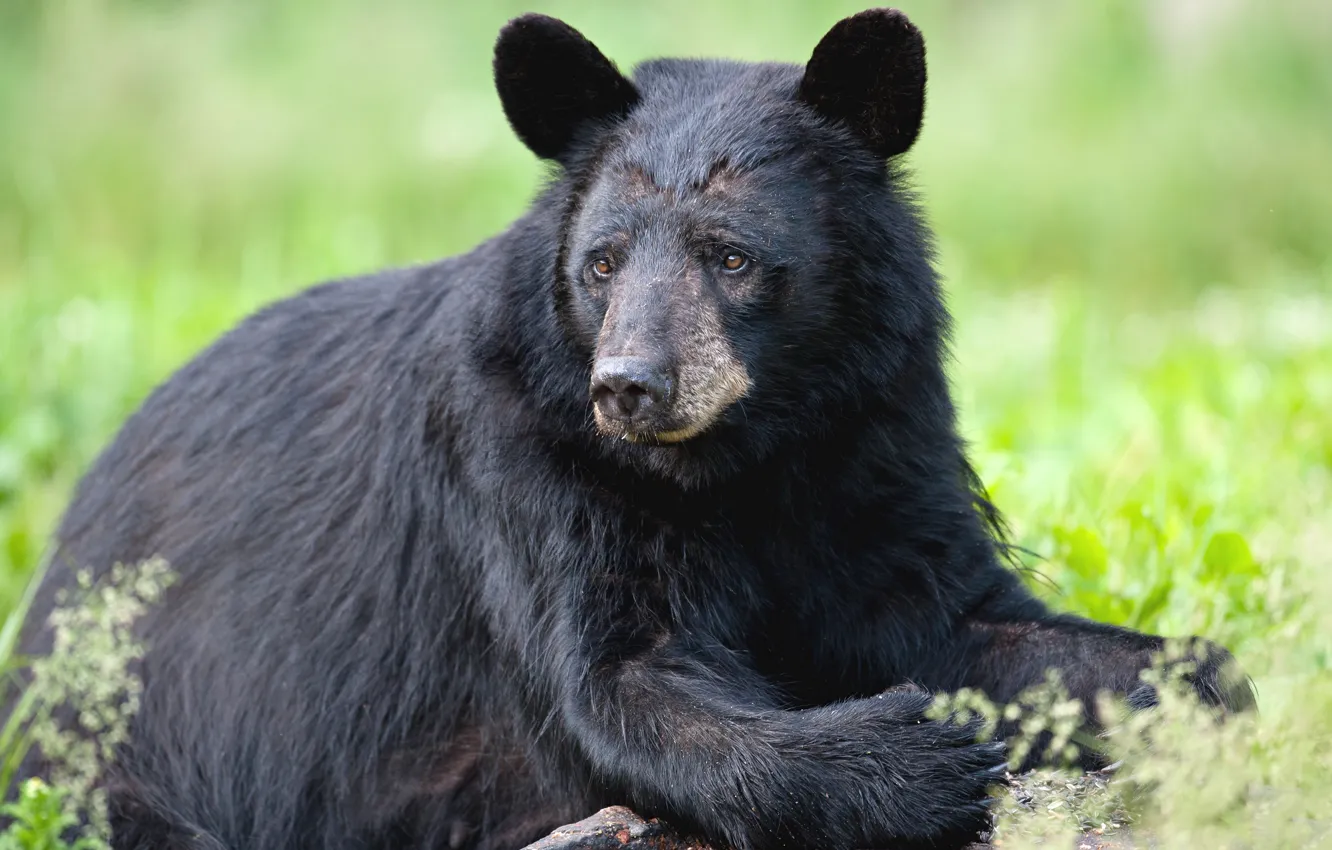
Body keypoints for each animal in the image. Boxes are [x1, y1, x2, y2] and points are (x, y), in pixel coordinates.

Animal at [10, 8, 1253, 850]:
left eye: (732, 255)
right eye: (602, 261)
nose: (629, 387)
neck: (752, 449)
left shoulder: (877, 434)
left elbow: (966, 618)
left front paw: (1203, 689)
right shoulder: (533, 462)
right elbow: (624, 680)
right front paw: (918, 756)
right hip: (125, 722)